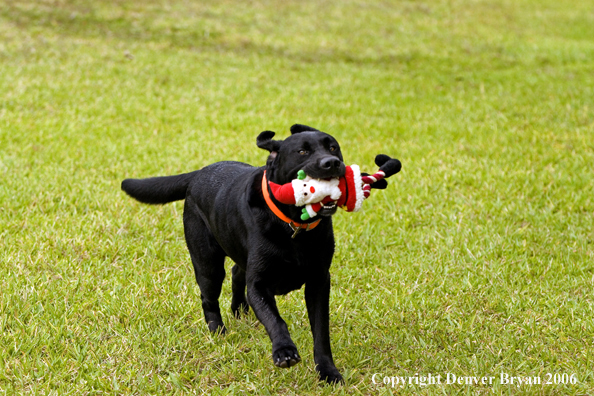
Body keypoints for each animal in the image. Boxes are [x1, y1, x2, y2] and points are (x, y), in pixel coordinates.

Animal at [121, 124, 388, 384]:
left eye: (333, 147)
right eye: (302, 152)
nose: (331, 163)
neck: (294, 226)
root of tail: (198, 173)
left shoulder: (319, 281)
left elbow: (321, 332)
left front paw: (328, 371)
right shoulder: (259, 284)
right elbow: (275, 320)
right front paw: (284, 351)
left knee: (237, 271)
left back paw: (239, 310)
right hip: (207, 264)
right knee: (209, 297)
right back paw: (218, 331)